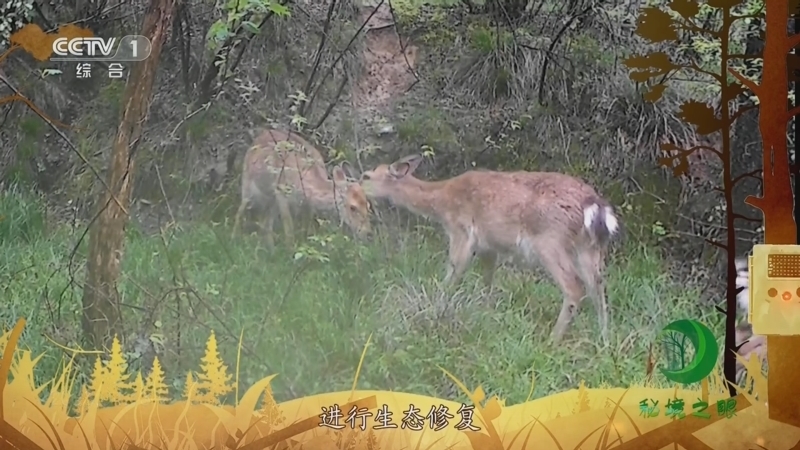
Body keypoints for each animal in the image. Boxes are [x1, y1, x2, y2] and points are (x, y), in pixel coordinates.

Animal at [232, 129, 373, 244]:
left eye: (368, 205)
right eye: (352, 207)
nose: (367, 233)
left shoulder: (306, 206)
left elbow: (307, 230)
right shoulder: (282, 191)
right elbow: (289, 230)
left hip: (270, 200)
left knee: (265, 224)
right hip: (248, 184)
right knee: (240, 211)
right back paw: (234, 238)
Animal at [359, 154, 620, 344]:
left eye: (366, 175)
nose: (356, 187)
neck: (440, 201)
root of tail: (594, 205)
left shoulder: (461, 231)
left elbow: (452, 274)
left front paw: (436, 309)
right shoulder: (489, 247)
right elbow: (487, 281)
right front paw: (486, 314)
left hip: (549, 240)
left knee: (575, 287)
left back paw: (551, 341)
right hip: (589, 248)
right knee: (598, 287)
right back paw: (605, 341)